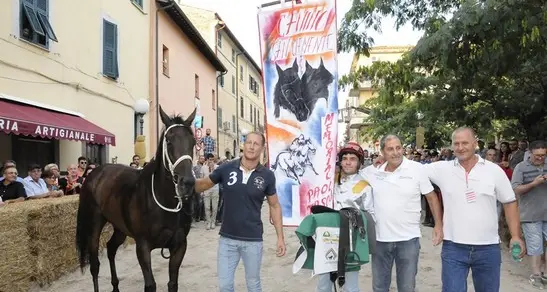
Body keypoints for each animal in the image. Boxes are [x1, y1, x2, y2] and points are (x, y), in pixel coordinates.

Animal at [76, 105, 197, 292]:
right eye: (169, 141)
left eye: (193, 143)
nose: (188, 182)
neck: (163, 202)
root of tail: (95, 172)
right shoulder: (143, 246)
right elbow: (150, 285)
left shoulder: (179, 245)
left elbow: (173, 284)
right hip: (94, 223)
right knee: (94, 264)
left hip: (120, 226)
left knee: (111, 248)